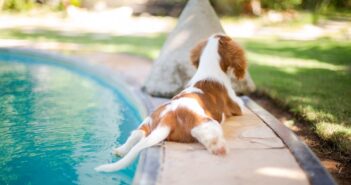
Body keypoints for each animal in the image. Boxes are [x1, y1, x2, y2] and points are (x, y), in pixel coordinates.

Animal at [95, 33, 246, 172]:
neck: (209, 69)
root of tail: (166, 118)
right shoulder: (237, 106)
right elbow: (242, 105)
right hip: (206, 123)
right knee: (208, 136)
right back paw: (219, 148)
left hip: (147, 122)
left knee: (135, 135)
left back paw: (120, 150)